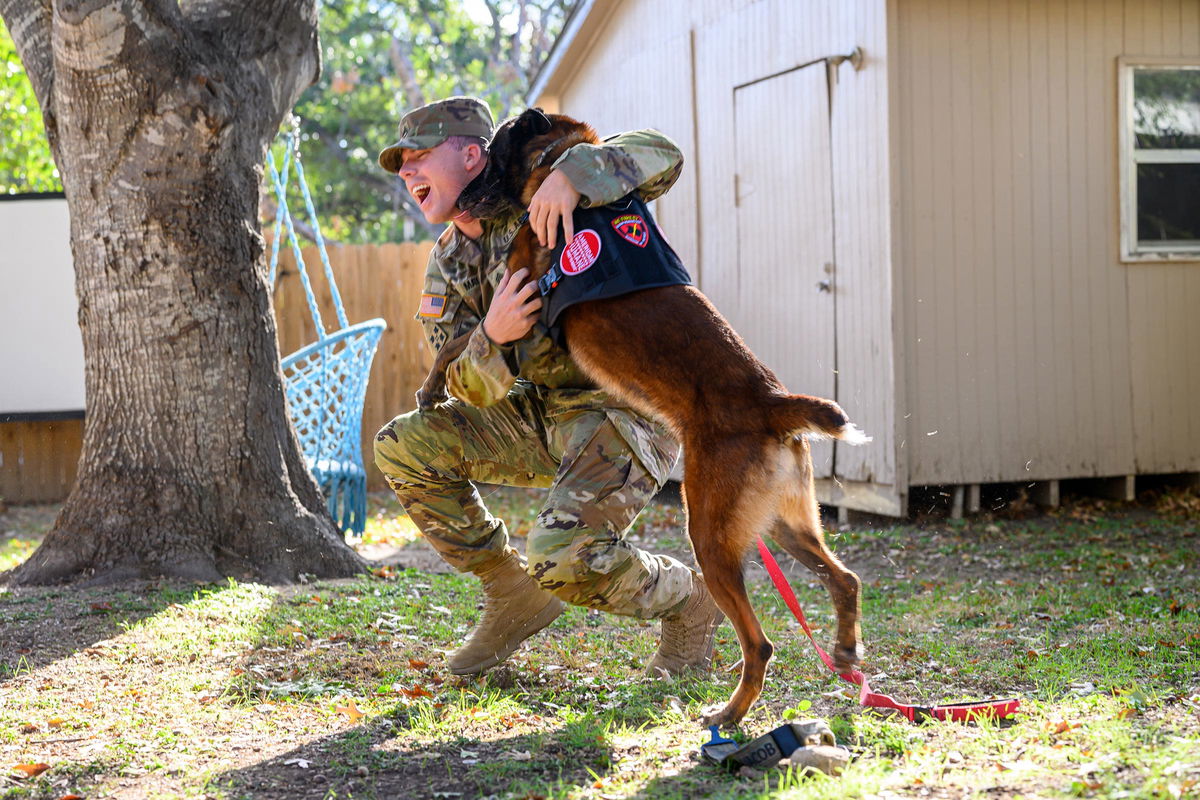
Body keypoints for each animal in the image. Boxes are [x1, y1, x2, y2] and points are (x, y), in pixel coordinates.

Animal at [417, 109, 868, 729]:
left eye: (491, 153)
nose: (461, 197)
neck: (554, 164)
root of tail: (772, 401)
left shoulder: (518, 301)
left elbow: (461, 341)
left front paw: (429, 387)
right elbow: (465, 340)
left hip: (709, 532)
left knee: (760, 642)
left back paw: (728, 716)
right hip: (786, 523)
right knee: (844, 578)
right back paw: (844, 653)